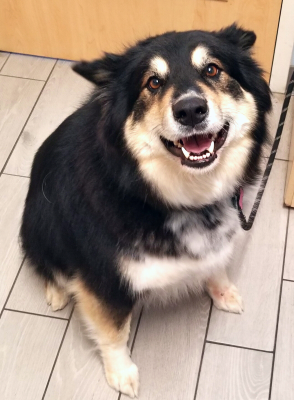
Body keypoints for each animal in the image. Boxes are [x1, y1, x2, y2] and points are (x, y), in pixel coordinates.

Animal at [21, 24, 272, 396]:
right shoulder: (103, 279)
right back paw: (57, 291)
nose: (191, 110)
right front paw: (121, 373)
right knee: (45, 263)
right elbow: (113, 332)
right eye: (152, 82)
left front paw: (223, 291)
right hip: (40, 224)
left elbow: (215, 264)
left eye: (212, 69)